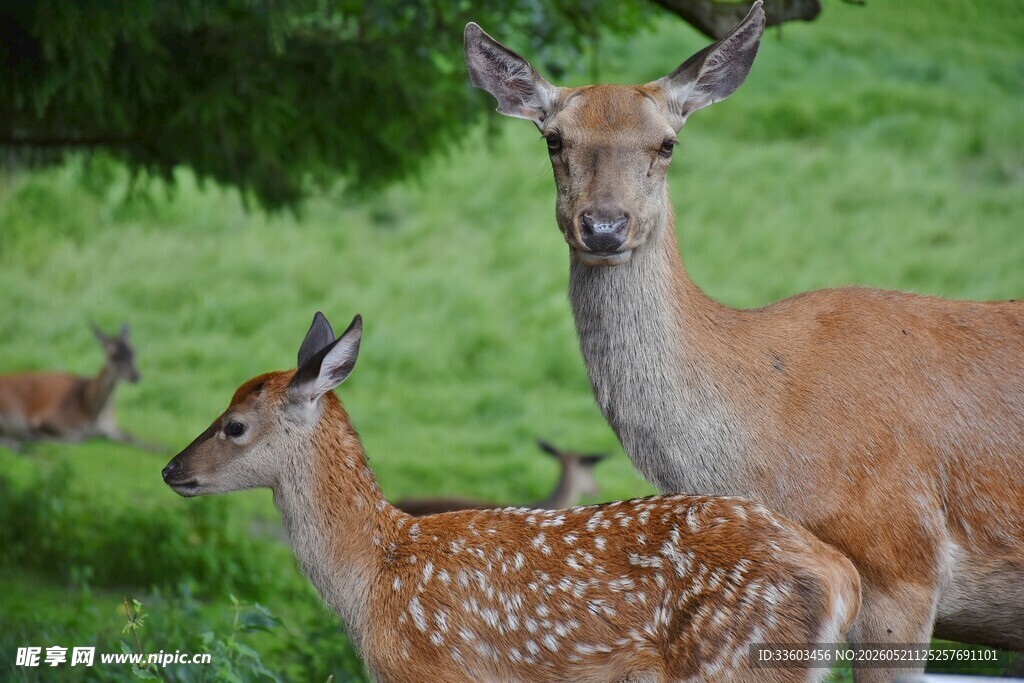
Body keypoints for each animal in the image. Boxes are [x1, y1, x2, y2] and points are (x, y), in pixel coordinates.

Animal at [0, 323, 159, 451]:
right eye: (113, 355)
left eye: (133, 352)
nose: (135, 376)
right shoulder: (47, 418)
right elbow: (79, 438)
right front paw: (41, 436)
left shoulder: (110, 426)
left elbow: (134, 437)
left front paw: (161, 448)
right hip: (14, 414)